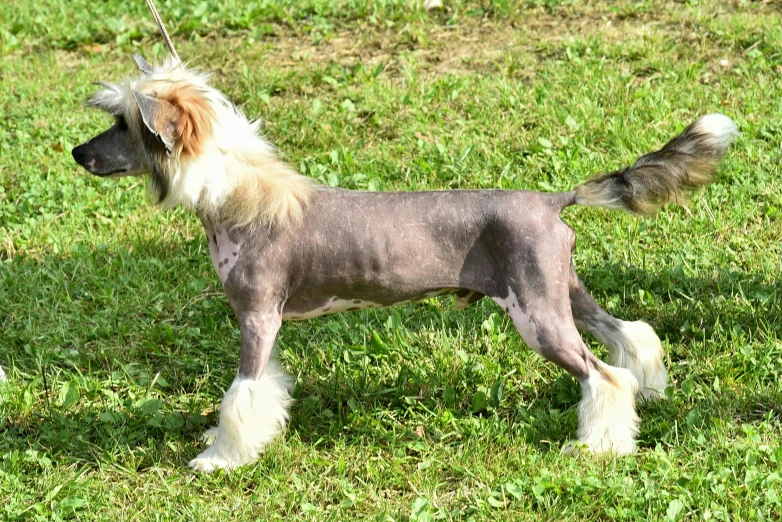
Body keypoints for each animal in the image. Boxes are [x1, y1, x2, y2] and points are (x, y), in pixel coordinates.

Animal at [70, 54, 740, 470]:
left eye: (123, 124)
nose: (77, 154)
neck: (242, 198)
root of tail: (553, 199)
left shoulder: (257, 318)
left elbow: (243, 393)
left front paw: (220, 458)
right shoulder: (271, 324)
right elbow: (266, 391)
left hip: (537, 316)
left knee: (603, 375)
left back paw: (599, 446)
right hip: (561, 293)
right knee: (631, 335)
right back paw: (648, 395)